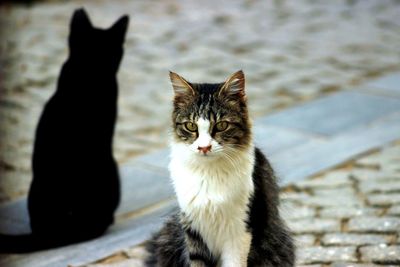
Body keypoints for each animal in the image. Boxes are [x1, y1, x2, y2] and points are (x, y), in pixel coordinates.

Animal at [145, 70, 296, 266]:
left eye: (222, 125)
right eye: (191, 126)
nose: (204, 148)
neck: (208, 173)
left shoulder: (240, 230)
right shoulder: (193, 230)